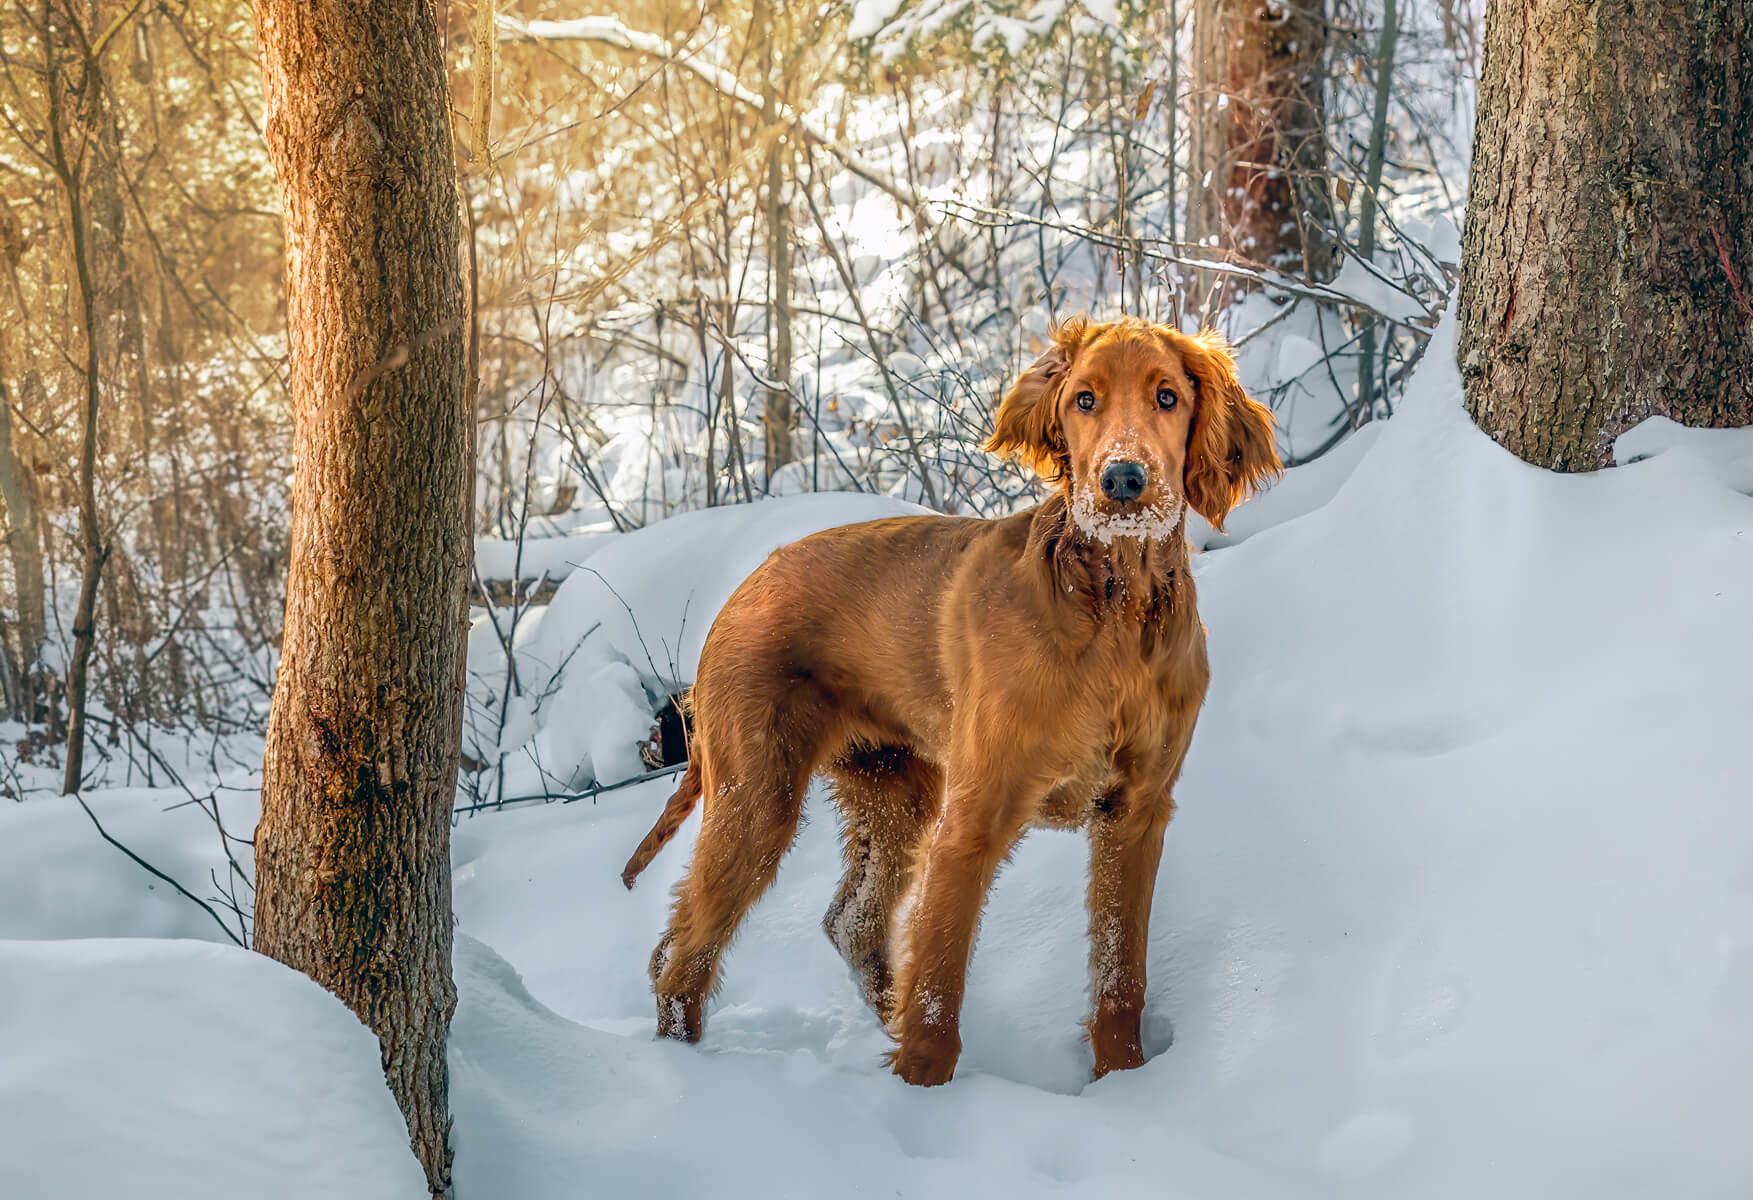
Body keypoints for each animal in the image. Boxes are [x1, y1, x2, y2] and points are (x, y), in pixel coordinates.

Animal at [624, 315, 1283, 1086]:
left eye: (1168, 396)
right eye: (1084, 400)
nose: (1122, 480)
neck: (1113, 605)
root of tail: (743, 587)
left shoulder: (1136, 813)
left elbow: (1121, 977)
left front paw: (1124, 1082)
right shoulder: (975, 816)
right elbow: (939, 986)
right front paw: (921, 1094)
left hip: (895, 793)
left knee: (849, 923)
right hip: (758, 796)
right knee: (685, 953)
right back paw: (685, 1071)